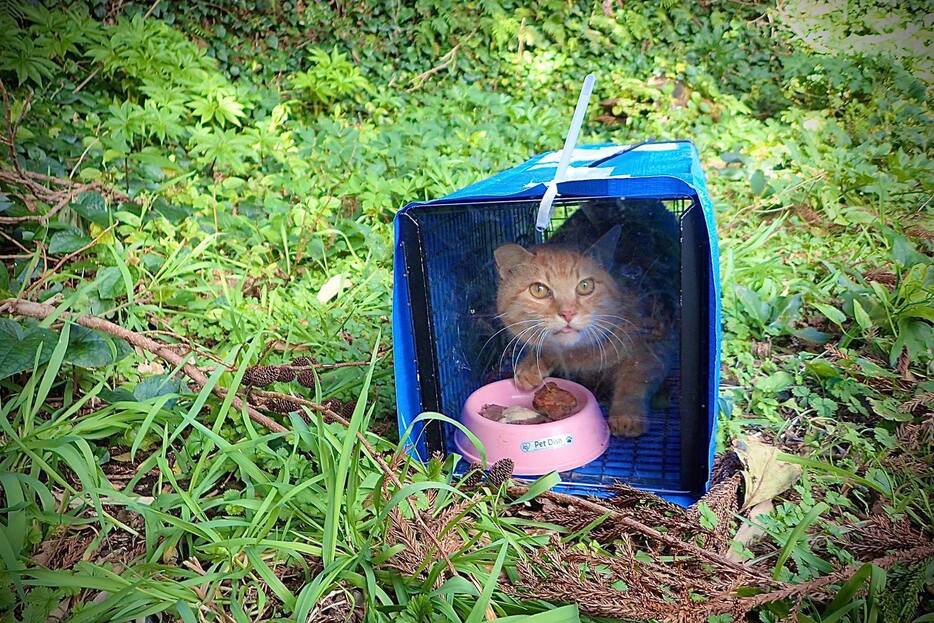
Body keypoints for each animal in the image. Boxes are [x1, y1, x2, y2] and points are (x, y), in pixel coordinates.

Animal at [498, 227, 672, 436]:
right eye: (538, 289)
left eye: (585, 286)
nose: (567, 313)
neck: (583, 354)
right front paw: (531, 365)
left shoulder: (651, 348)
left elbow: (633, 382)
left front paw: (627, 415)